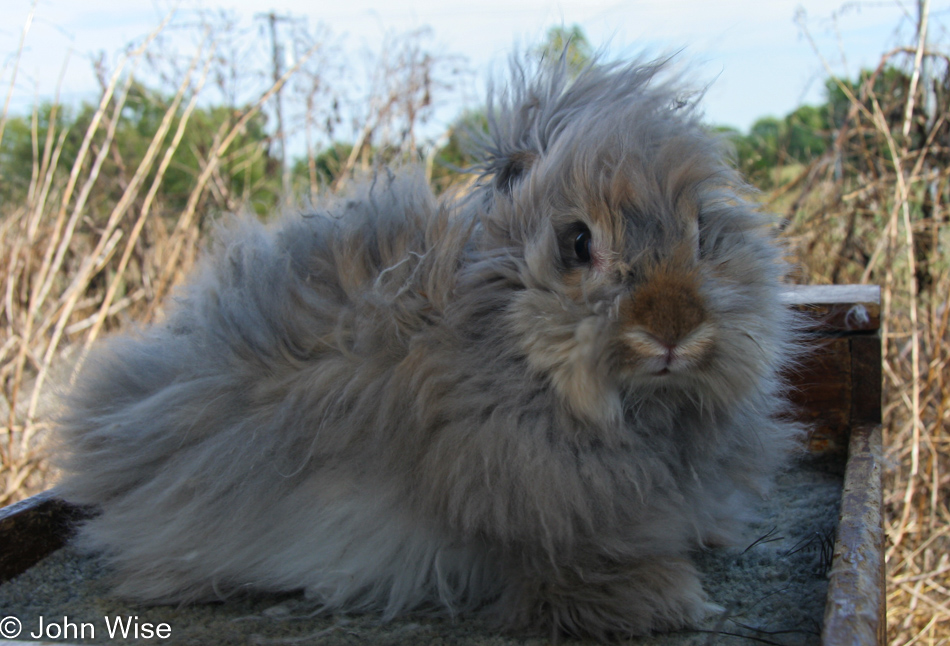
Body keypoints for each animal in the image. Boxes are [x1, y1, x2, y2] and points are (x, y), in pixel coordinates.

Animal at [54, 57, 804, 644]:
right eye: (578, 243)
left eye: (703, 234)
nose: (674, 330)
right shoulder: (538, 519)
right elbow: (567, 573)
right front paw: (667, 600)